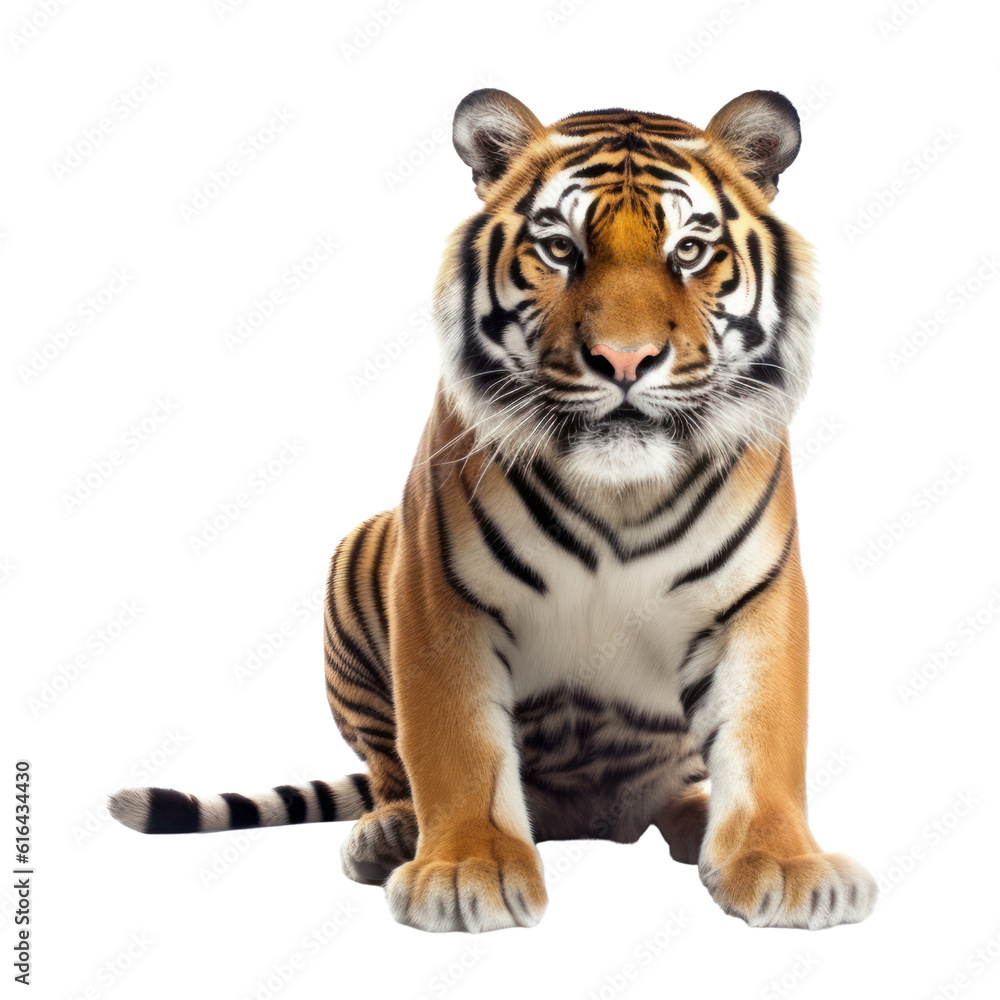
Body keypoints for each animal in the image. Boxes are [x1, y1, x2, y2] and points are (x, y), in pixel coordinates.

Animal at [110, 88, 878, 934]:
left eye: (689, 251)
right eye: (560, 248)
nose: (625, 360)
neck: (622, 491)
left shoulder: (754, 601)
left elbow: (764, 737)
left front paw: (785, 865)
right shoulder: (442, 595)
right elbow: (458, 745)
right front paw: (464, 872)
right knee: (390, 767)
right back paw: (391, 831)